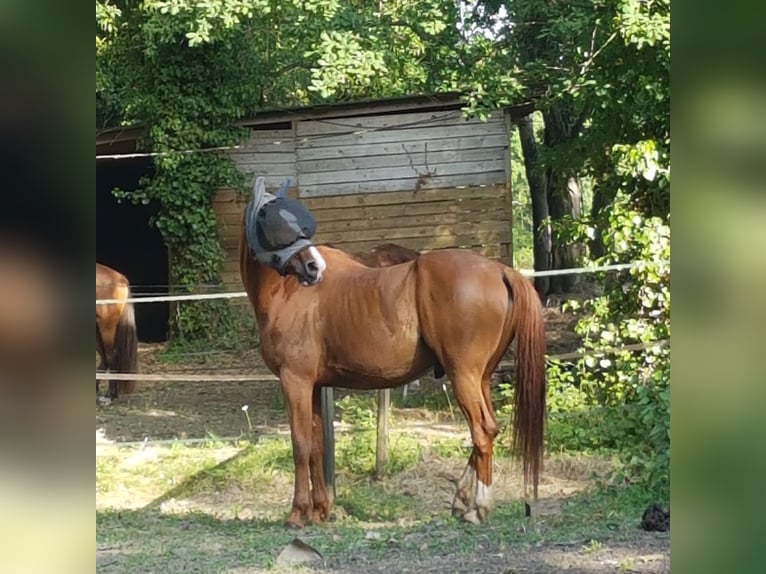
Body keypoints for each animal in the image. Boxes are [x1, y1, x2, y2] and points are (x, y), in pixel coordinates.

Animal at [240, 177, 544, 532]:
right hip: (480, 377)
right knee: (491, 429)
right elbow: (316, 444)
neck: (288, 294)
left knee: (481, 431)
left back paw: (476, 509)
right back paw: (462, 500)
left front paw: (297, 514)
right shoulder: (312, 386)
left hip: (464, 376)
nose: (314, 268)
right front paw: (319, 511)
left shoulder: (295, 382)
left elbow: (300, 444)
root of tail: (498, 270)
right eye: (269, 218)